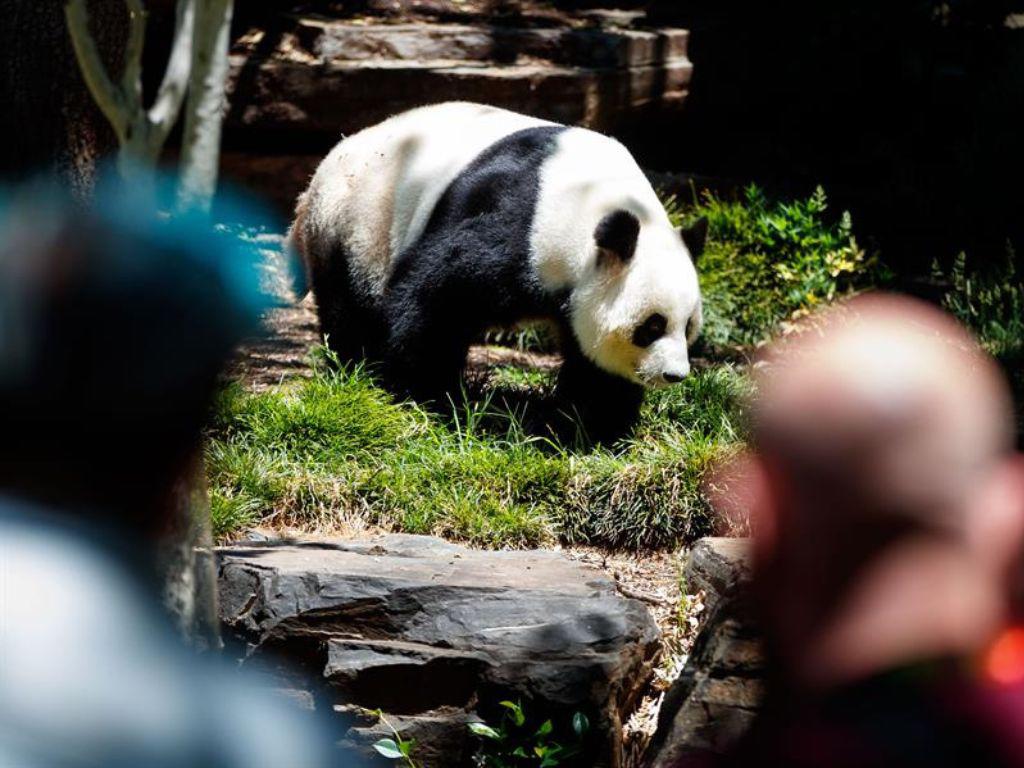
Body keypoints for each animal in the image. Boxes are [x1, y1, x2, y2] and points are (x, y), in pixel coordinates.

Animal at [291, 102, 706, 442]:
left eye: (687, 326)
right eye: (652, 325)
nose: (675, 375)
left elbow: (593, 361)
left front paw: (595, 421)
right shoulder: (519, 223)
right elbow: (437, 295)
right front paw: (426, 393)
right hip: (353, 226)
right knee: (349, 306)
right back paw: (356, 367)